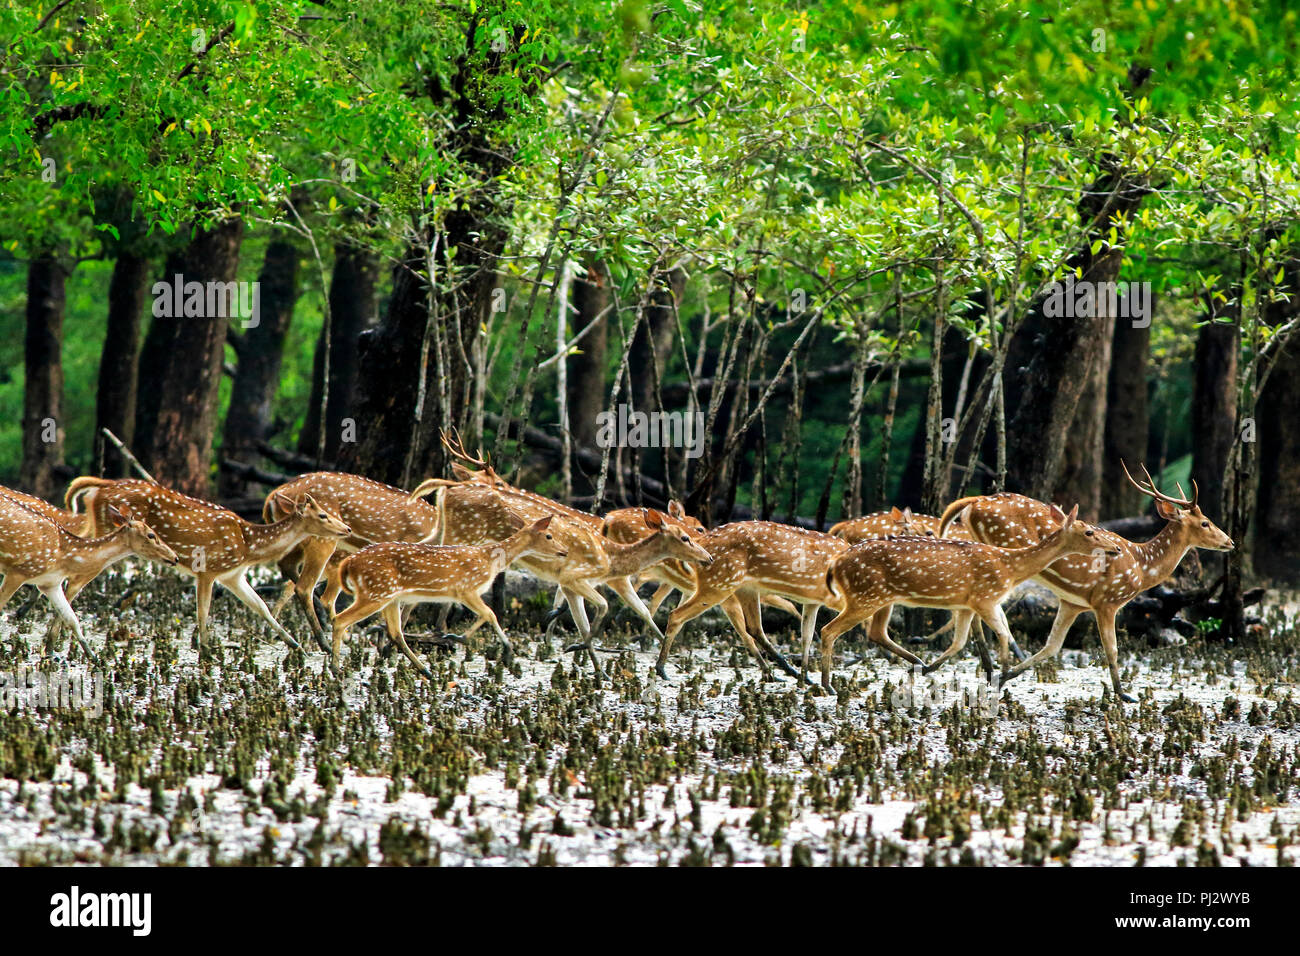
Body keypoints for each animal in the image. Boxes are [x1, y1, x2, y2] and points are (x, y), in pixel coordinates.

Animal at [1, 489, 179, 660]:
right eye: (151, 535)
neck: (64, 559)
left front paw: (93, 657)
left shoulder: (50, 583)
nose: (175, 557)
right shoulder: (19, 571)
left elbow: (72, 619)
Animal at [65, 478, 351, 650]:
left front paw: (295, 645)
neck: (249, 545)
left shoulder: (233, 575)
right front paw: (205, 650)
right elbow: (203, 611)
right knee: (73, 582)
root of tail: (100, 487)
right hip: (104, 534)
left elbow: (261, 606)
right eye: (323, 515)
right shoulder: (209, 568)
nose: (347, 528)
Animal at [330, 515, 564, 681]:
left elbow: (486, 614)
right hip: (376, 592)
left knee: (395, 632)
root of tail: (348, 563)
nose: (563, 552)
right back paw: (335, 668)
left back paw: (425, 671)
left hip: (389, 596)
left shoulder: (464, 593)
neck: (490, 561)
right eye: (549, 536)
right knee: (340, 620)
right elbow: (491, 614)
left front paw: (455, 637)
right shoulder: (466, 588)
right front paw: (507, 651)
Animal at [821, 504, 1107, 691]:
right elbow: (1002, 633)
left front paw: (992, 673)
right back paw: (828, 685)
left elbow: (961, 642)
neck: (1010, 568)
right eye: (1089, 532)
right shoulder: (985, 597)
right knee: (829, 630)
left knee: (876, 632)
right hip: (865, 595)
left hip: (880, 598)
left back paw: (916, 662)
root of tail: (835, 564)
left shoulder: (966, 604)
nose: (1113, 547)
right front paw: (1002, 675)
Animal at [941, 463, 1232, 702]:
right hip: (999, 545)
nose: (1230, 541)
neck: (1142, 567)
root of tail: (977, 500)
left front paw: (1007, 676)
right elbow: (1112, 649)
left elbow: (1052, 646)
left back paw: (989, 667)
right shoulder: (1107, 600)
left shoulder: (1073, 602)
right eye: (1205, 522)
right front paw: (1124, 694)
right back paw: (993, 662)